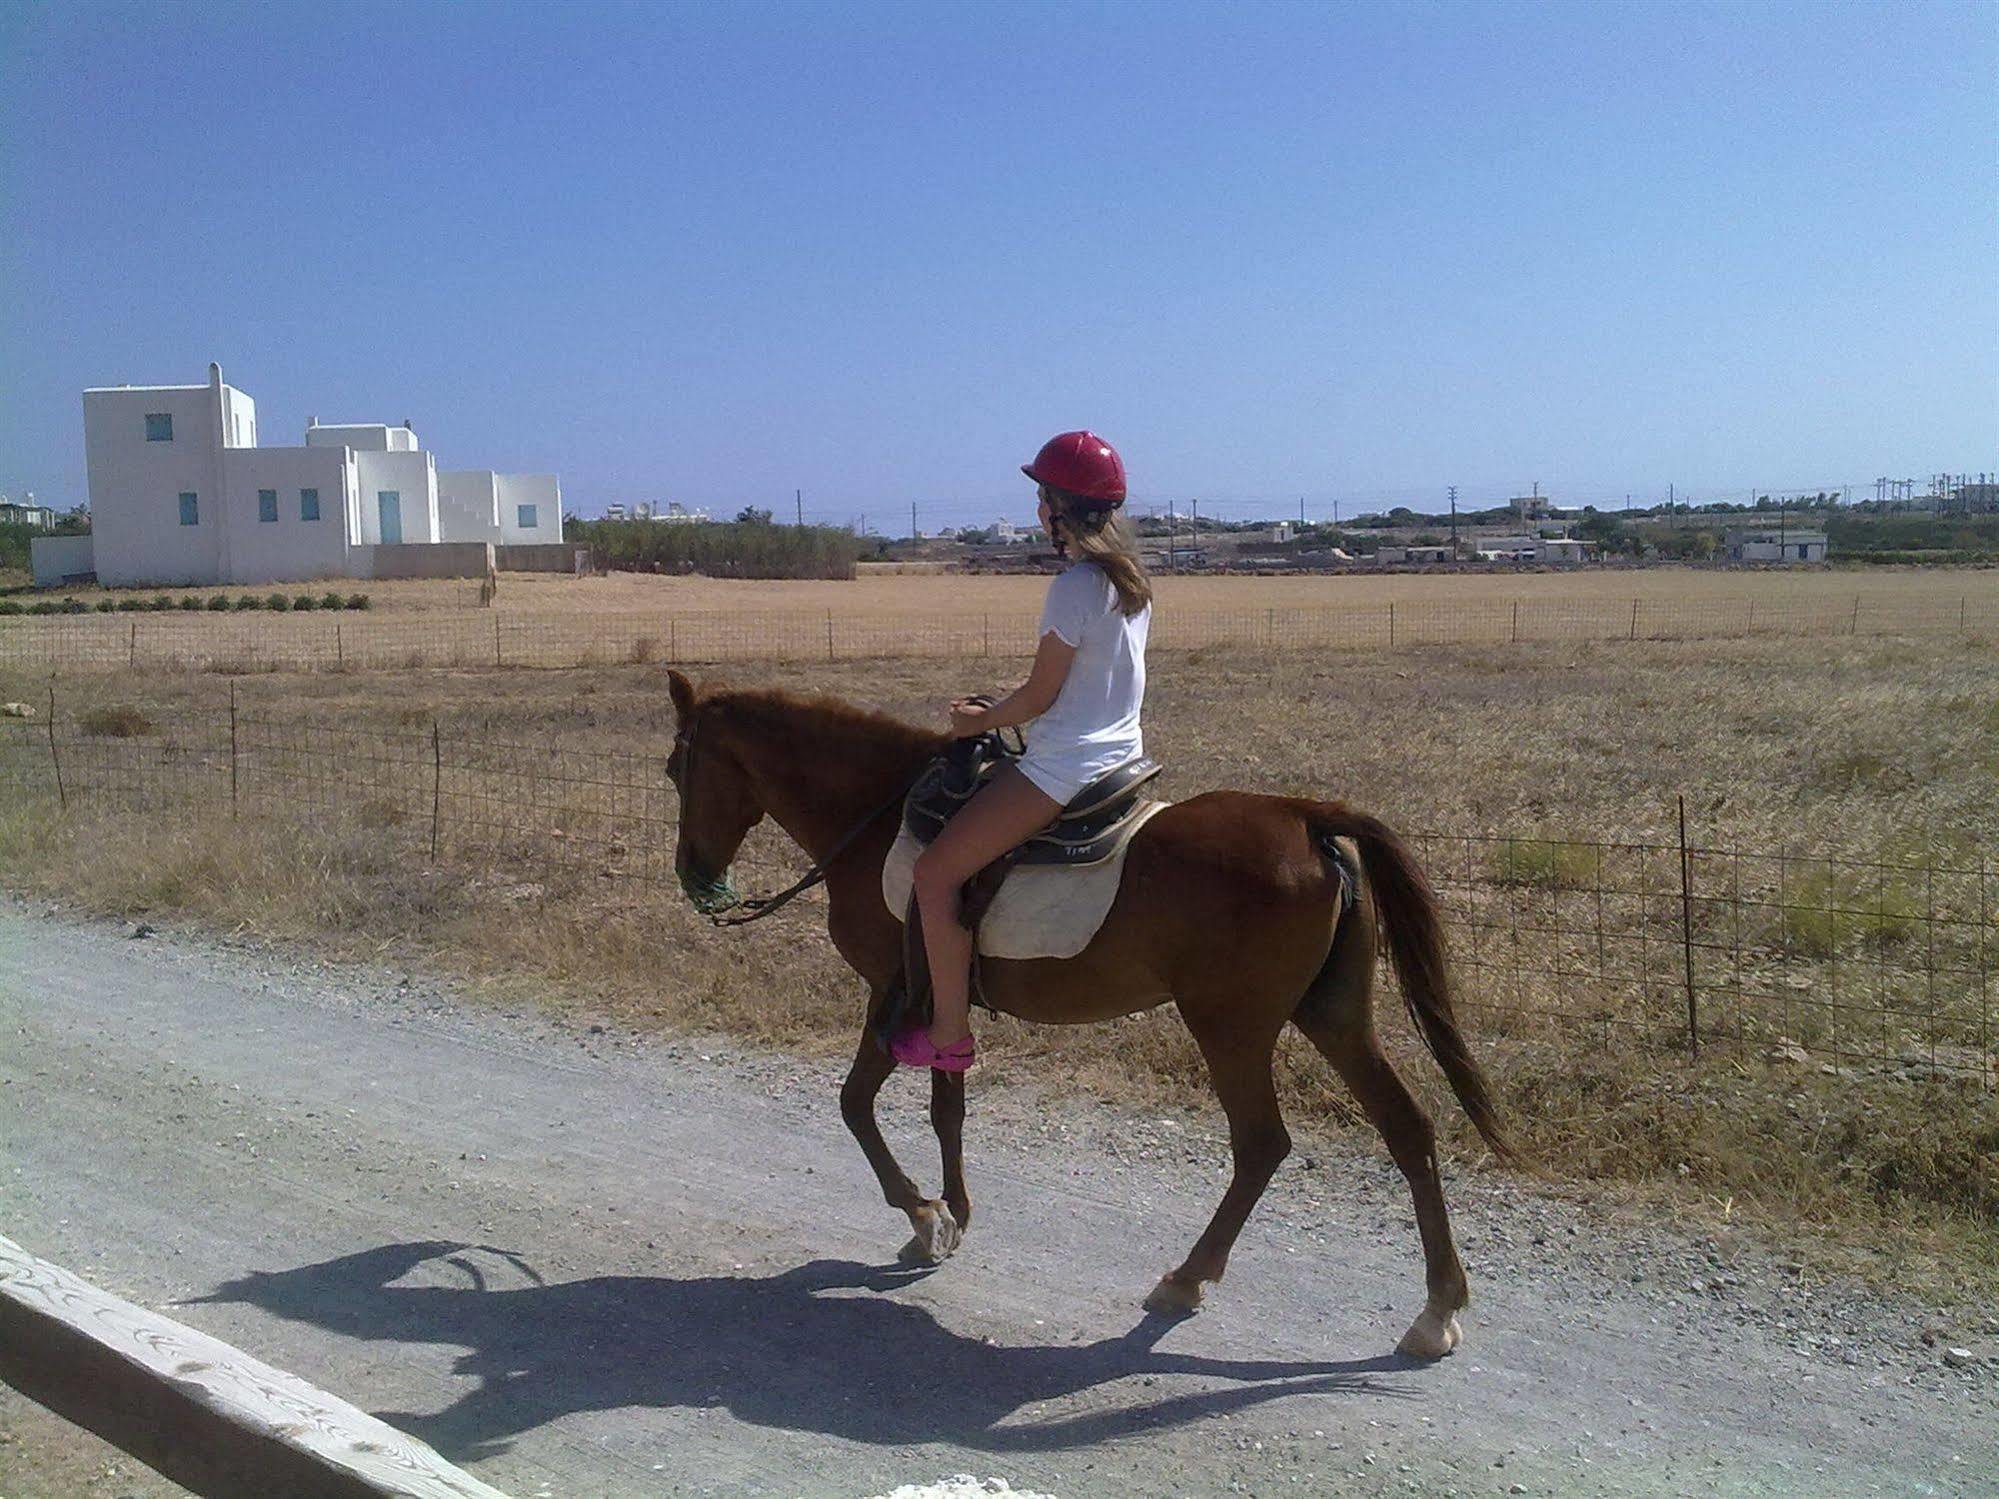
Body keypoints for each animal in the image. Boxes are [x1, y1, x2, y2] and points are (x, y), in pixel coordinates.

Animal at [663, 675, 1503, 1359]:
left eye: (675, 769)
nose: (694, 875)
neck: (876, 815)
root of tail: (1306, 819)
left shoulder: (888, 988)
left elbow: (856, 1103)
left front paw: (924, 1215)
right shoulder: (939, 998)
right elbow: (946, 1108)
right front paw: (953, 1211)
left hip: (1230, 1025)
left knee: (1262, 1144)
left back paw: (1185, 1277)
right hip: (1331, 1014)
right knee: (1407, 1129)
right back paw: (1437, 1309)